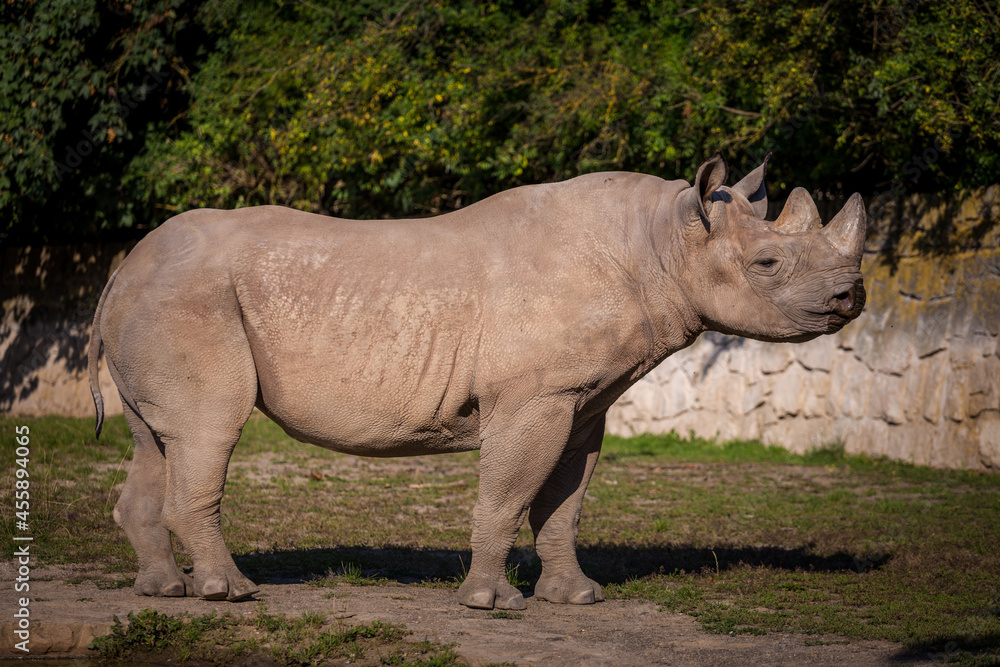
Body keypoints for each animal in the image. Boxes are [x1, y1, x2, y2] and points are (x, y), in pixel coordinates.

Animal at [88, 154, 866, 610]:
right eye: (767, 264)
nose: (851, 297)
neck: (663, 240)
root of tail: (121, 268)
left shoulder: (582, 401)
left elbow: (564, 503)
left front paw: (576, 598)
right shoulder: (535, 397)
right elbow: (510, 492)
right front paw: (492, 603)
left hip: (159, 298)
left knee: (155, 440)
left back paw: (163, 591)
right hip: (188, 299)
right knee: (209, 428)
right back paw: (232, 594)